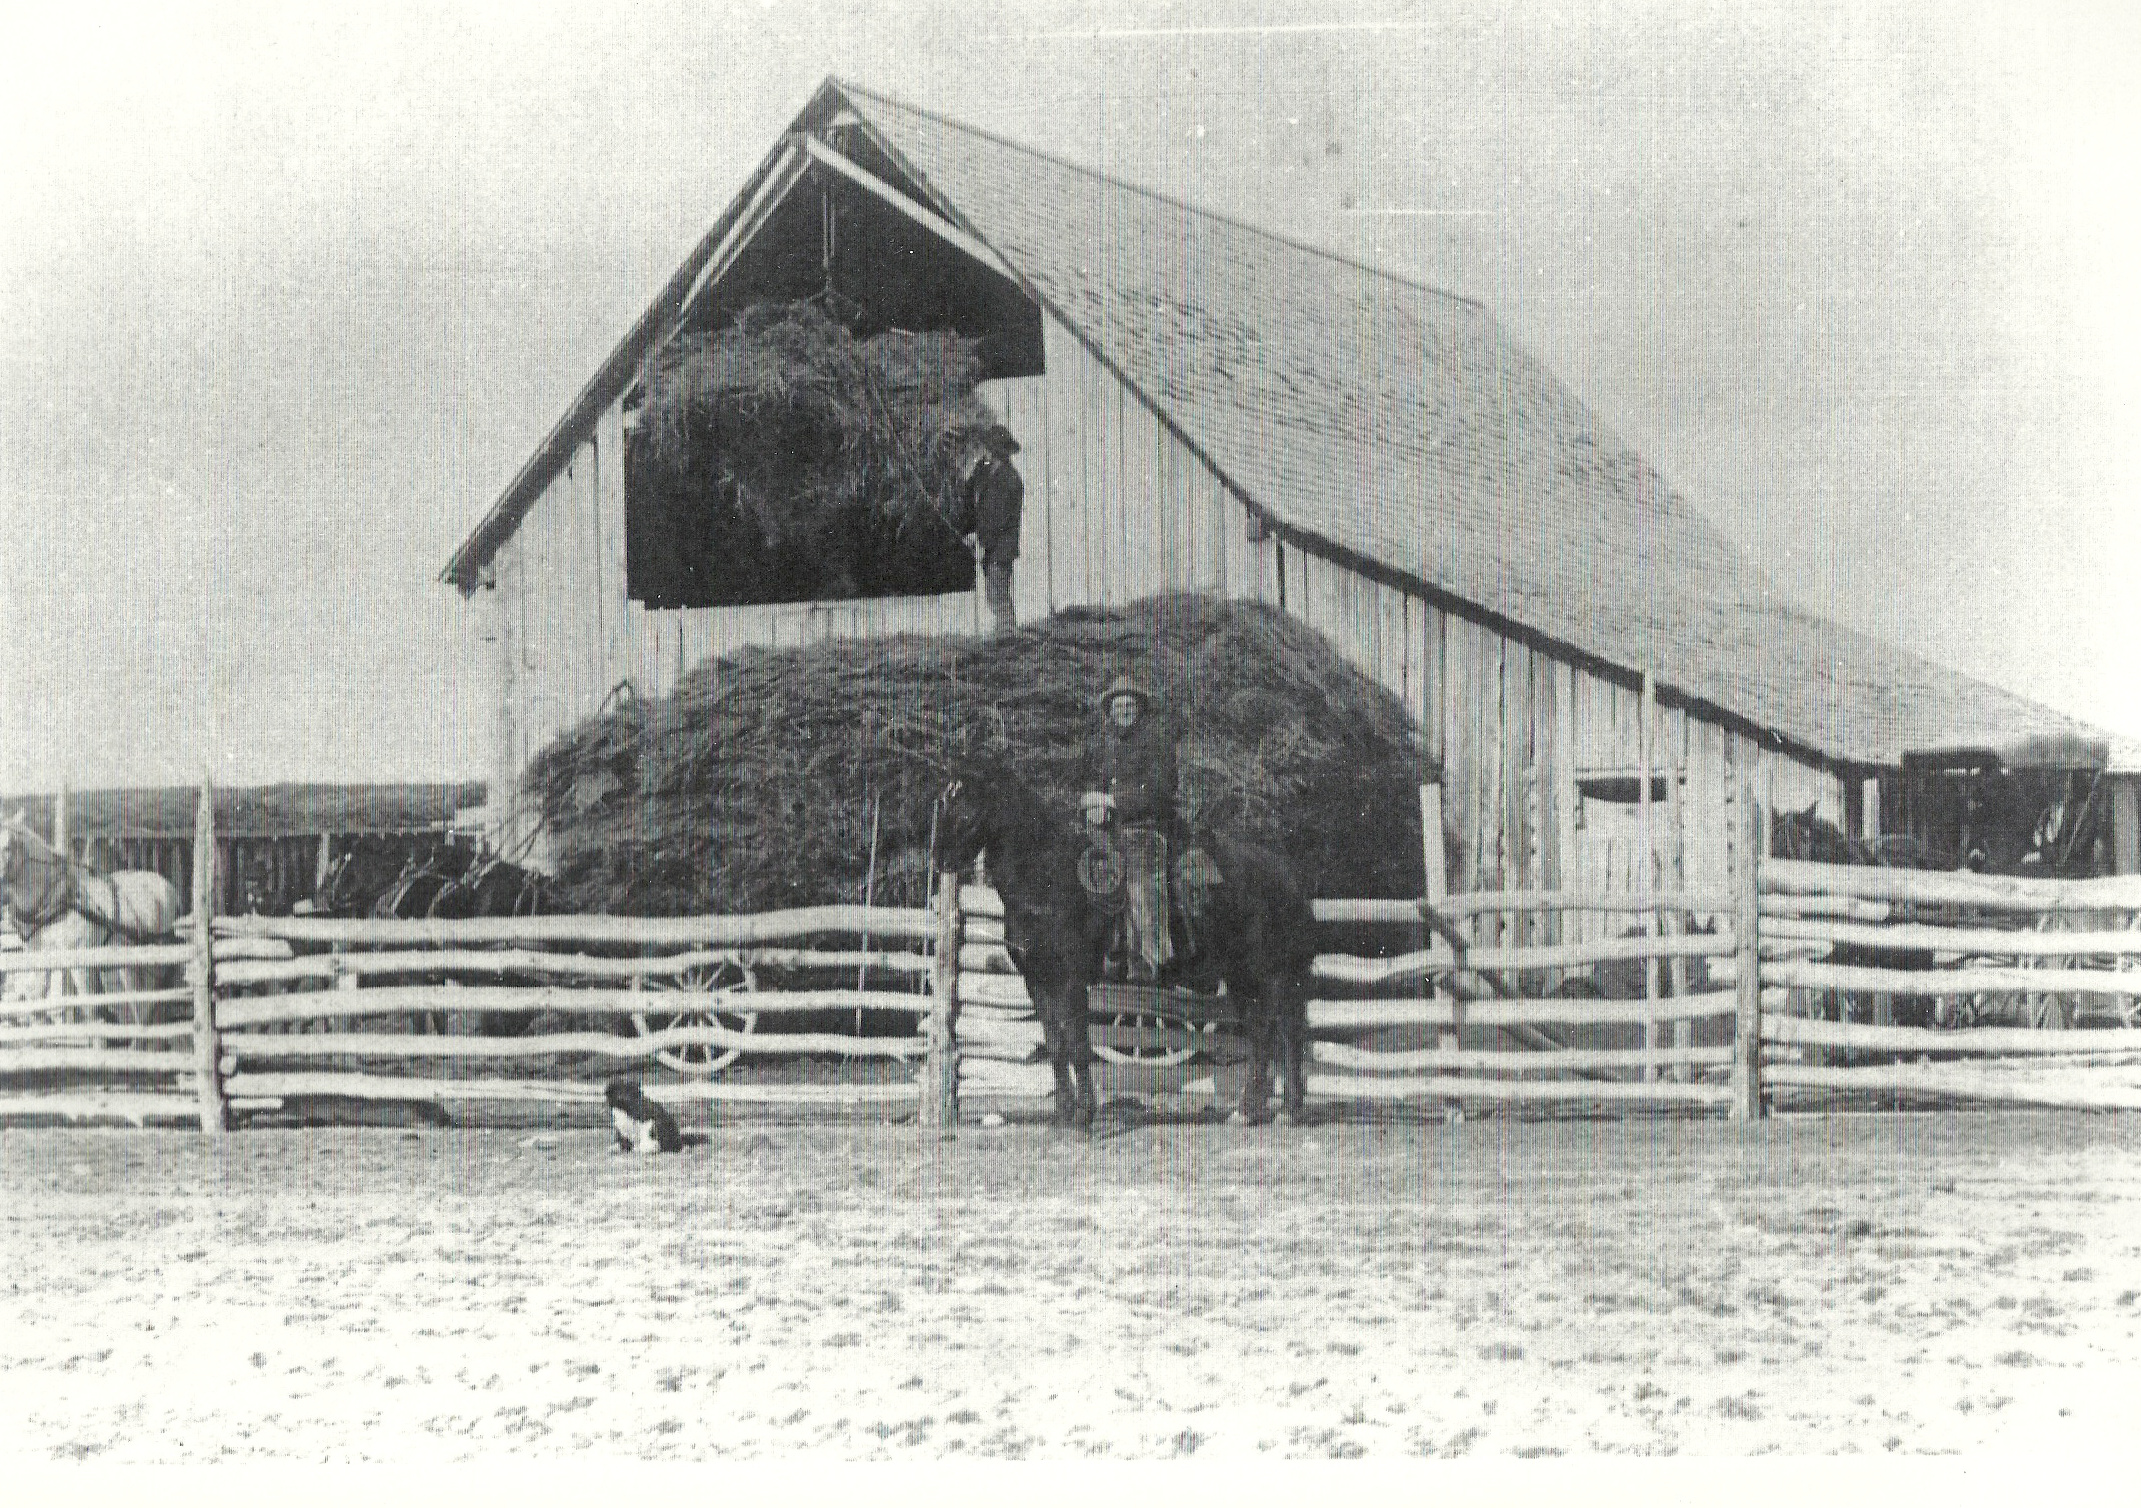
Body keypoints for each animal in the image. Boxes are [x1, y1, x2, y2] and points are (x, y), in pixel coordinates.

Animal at [2, 813, 184, 1023]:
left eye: (7, 847)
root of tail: (167, 887)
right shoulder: (39, 955)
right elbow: (38, 1003)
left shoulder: (80, 957)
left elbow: (90, 1008)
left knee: (147, 1003)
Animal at [937, 758, 1318, 1122]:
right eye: (944, 803)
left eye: (966, 810)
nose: (942, 861)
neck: (1047, 882)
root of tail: (1288, 874)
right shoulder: (1039, 980)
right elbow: (1056, 1045)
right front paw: (1063, 1113)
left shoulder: (1072, 980)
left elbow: (1078, 1045)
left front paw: (1084, 1116)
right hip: (1242, 978)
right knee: (1261, 1035)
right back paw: (1251, 1111)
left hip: (1275, 975)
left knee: (1285, 1032)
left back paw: (1290, 1111)